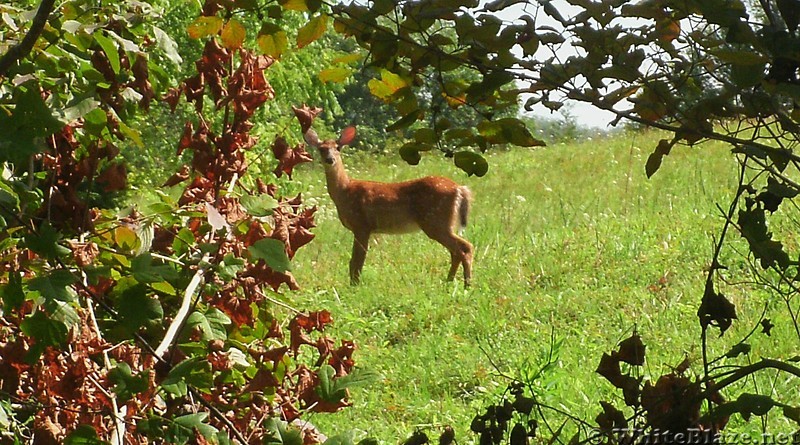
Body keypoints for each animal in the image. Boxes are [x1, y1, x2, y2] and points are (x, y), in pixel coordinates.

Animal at [304, 125, 472, 284]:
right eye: (321, 148)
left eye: (338, 147)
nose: (330, 159)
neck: (345, 191)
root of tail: (460, 189)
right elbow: (355, 261)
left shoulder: (362, 225)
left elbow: (357, 261)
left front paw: (354, 285)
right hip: (443, 223)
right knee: (457, 251)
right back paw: (450, 281)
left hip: (436, 221)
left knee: (465, 247)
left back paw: (466, 284)